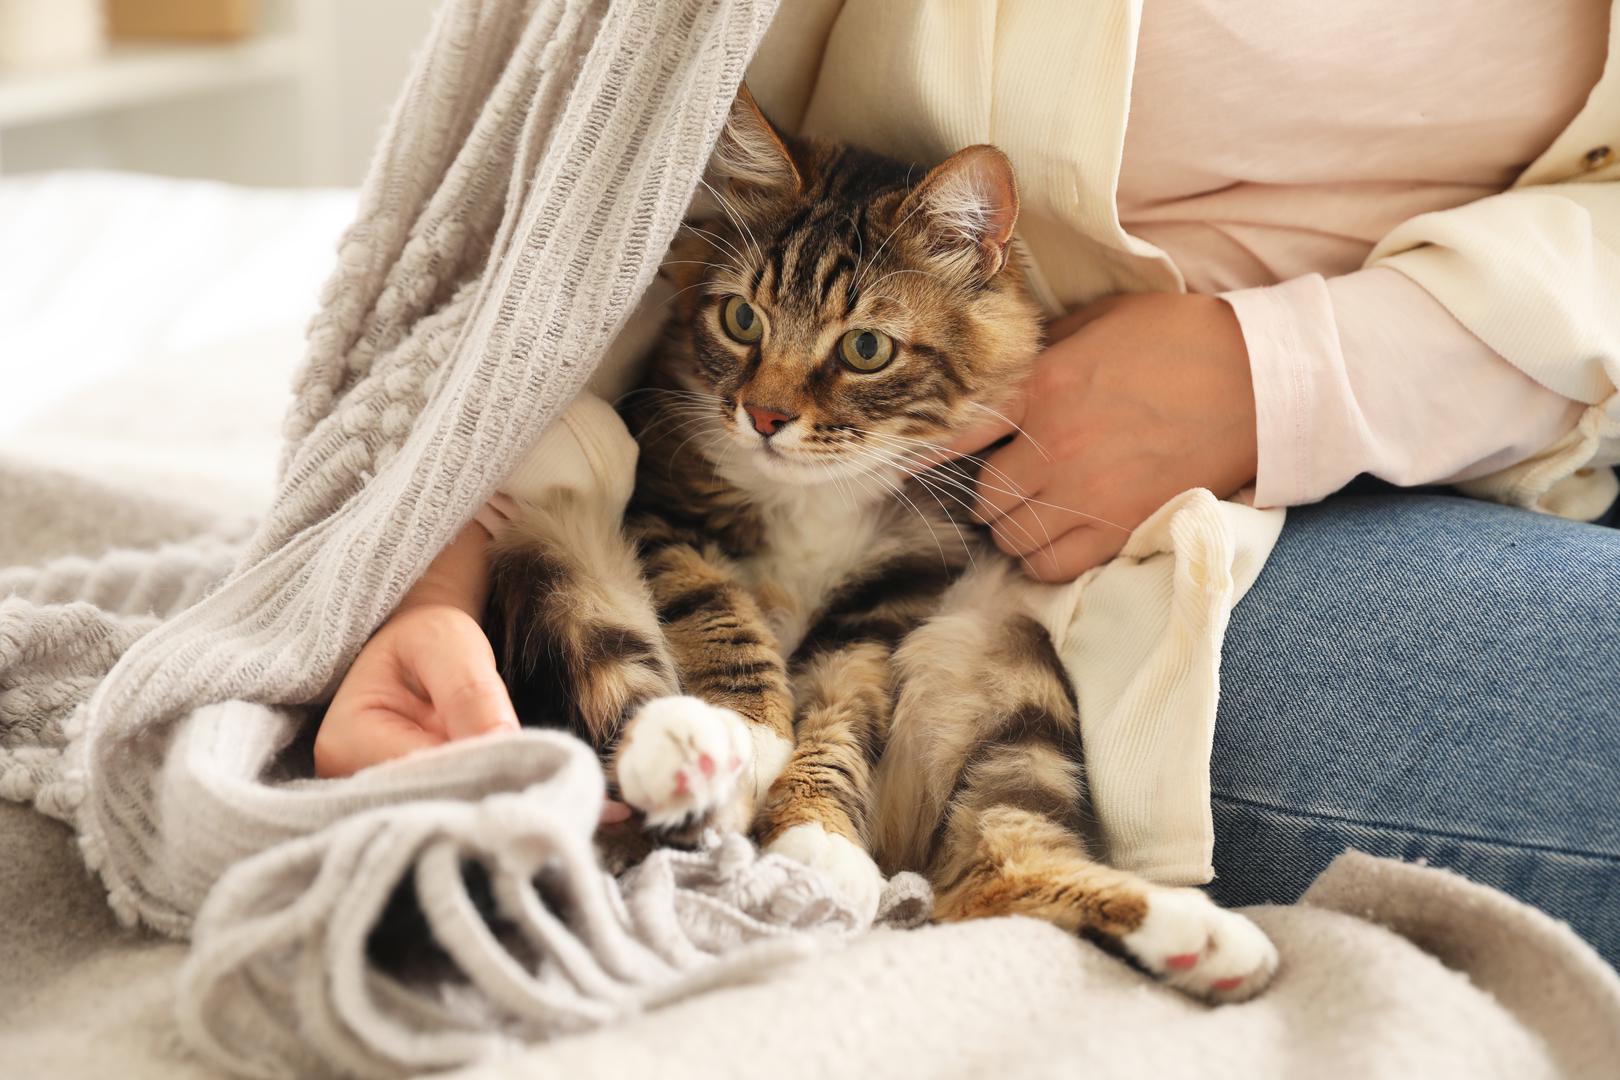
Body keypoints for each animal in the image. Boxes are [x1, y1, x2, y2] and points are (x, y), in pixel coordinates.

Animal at [479, 88, 1276, 1003]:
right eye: (741, 318)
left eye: (865, 349)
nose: (765, 417)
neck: (815, 493)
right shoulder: (664, 512)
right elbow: (717, 608)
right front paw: (750, 731)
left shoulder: (891, 595)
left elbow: (840, 710)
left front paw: (815, 831)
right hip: (564, 570)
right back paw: (693, 757)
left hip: (1011, 678)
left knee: (985, 881)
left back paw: (1201, 941)